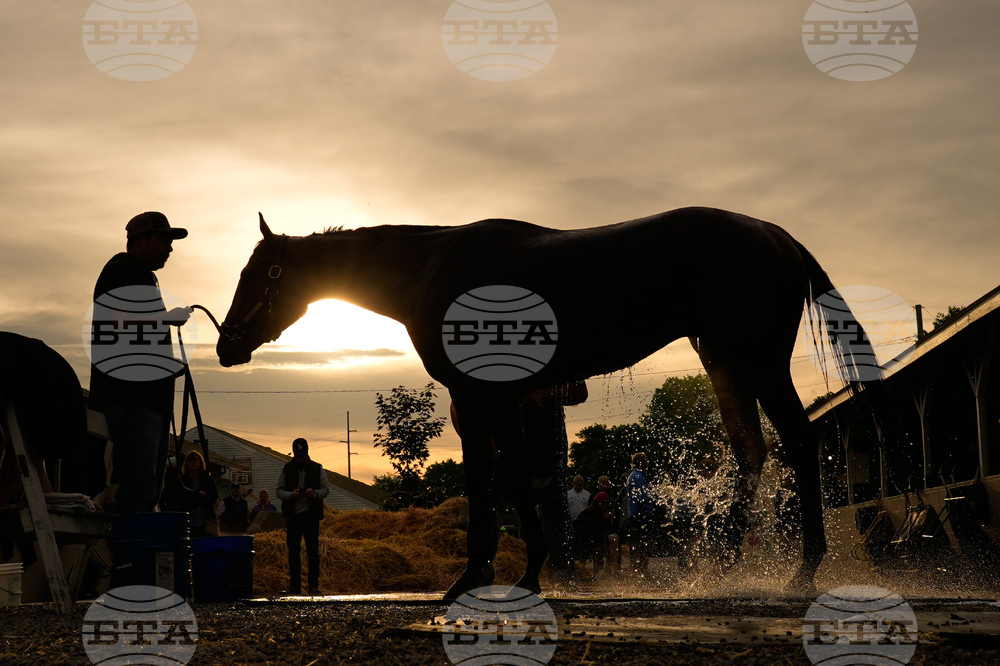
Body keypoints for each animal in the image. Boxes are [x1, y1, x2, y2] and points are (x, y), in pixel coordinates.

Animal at [216, 207, 875, 598]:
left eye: (258, 275)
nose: (225, 344)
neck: (432, 269)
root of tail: (777, 235)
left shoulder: (481, 398)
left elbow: (498, 479)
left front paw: (497, 576)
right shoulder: (493, 400)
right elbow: (501, 479)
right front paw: (502, 573)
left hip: (758, 359)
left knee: (797, 439)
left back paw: (803, 569)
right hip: (724, 359)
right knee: (750, 449)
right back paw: (729, 568)